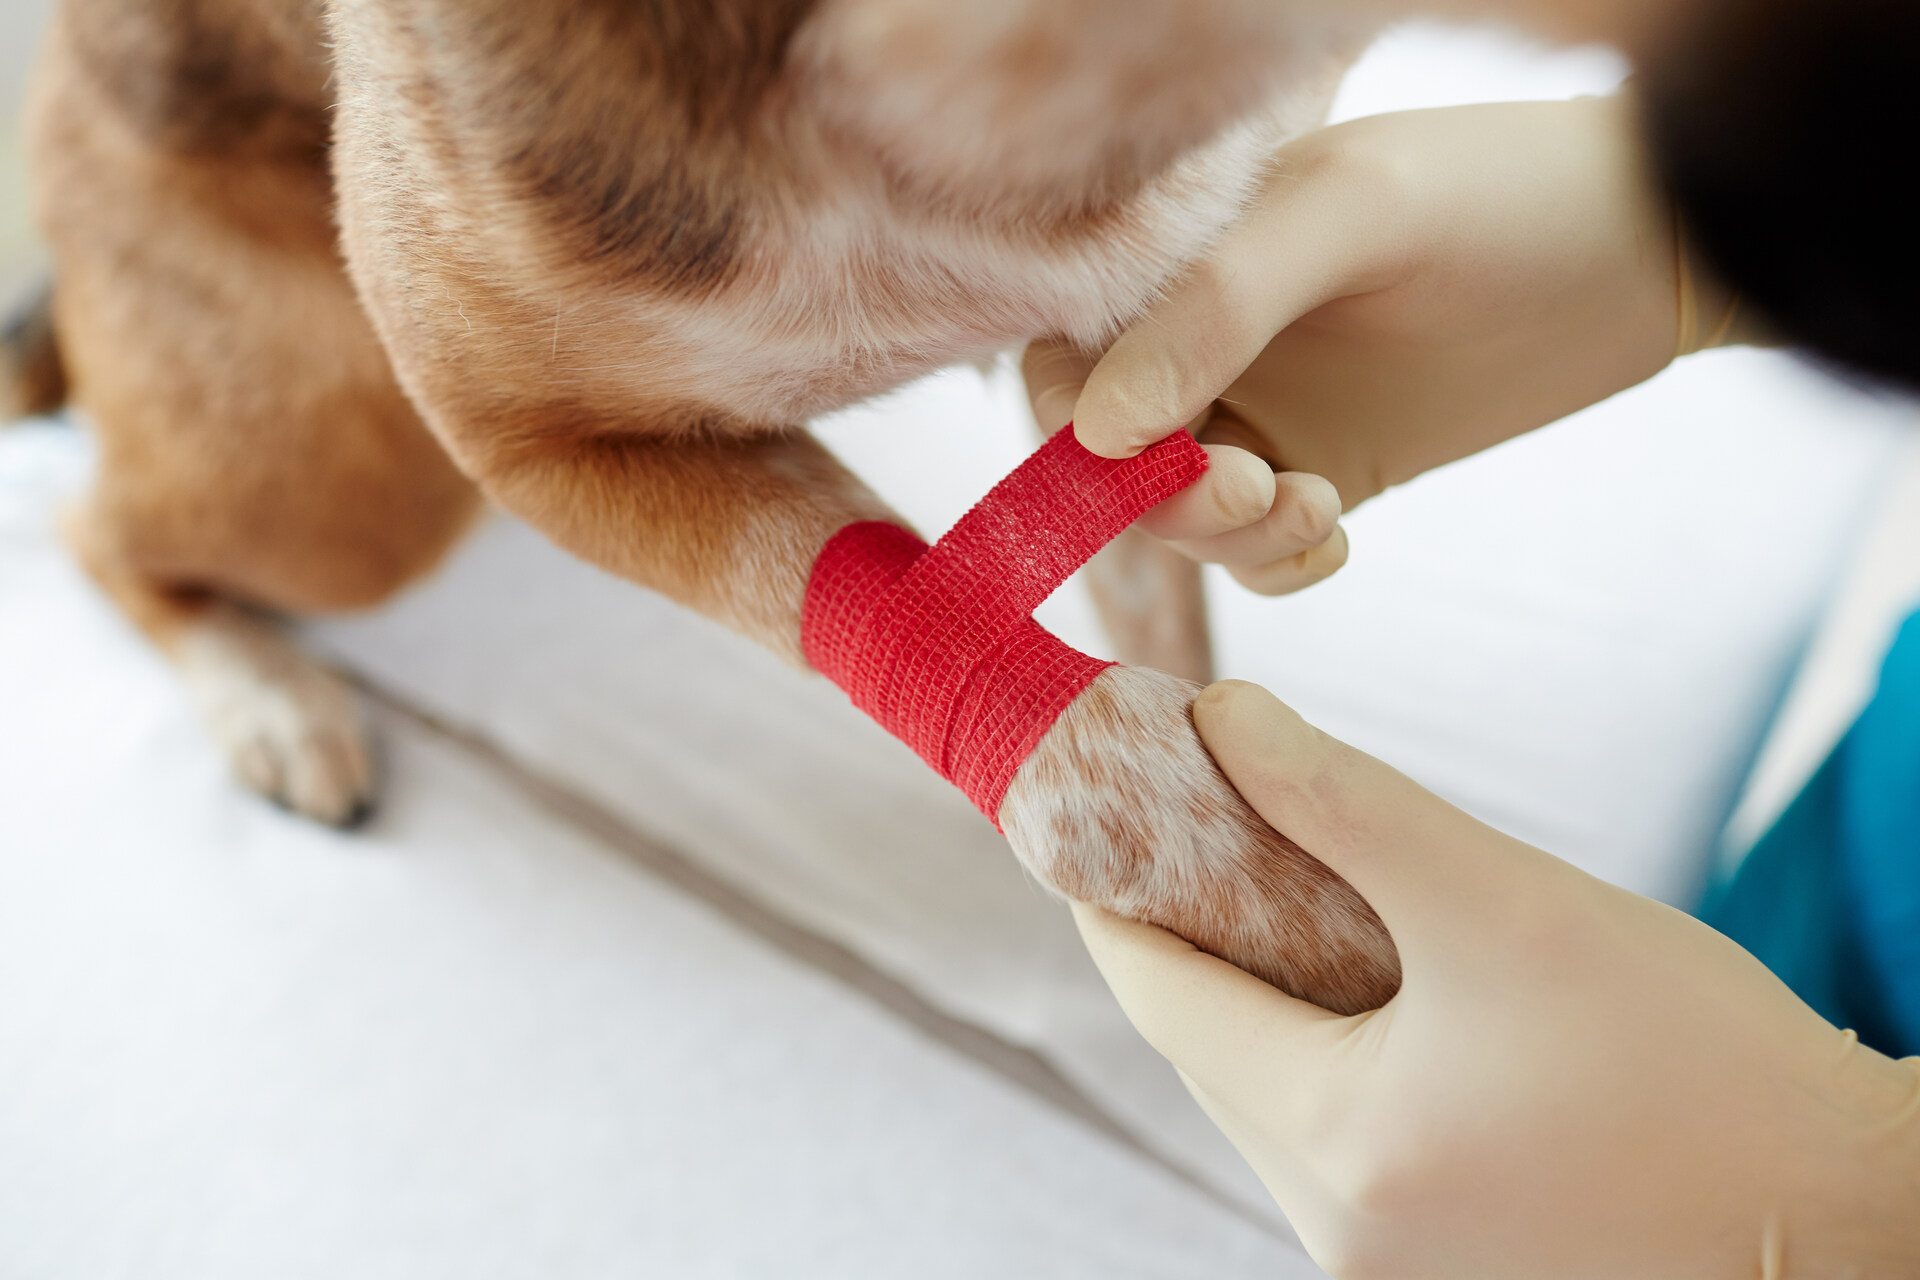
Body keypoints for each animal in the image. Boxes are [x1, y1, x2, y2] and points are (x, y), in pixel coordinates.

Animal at [7, 0, 1405, 1013]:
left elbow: (1160, 579)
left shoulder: (1152, 314)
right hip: (351, 473)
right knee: (93, 527)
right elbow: (1083, 746)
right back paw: (269, 697)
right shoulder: (514, 436)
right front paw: (1325, 915)